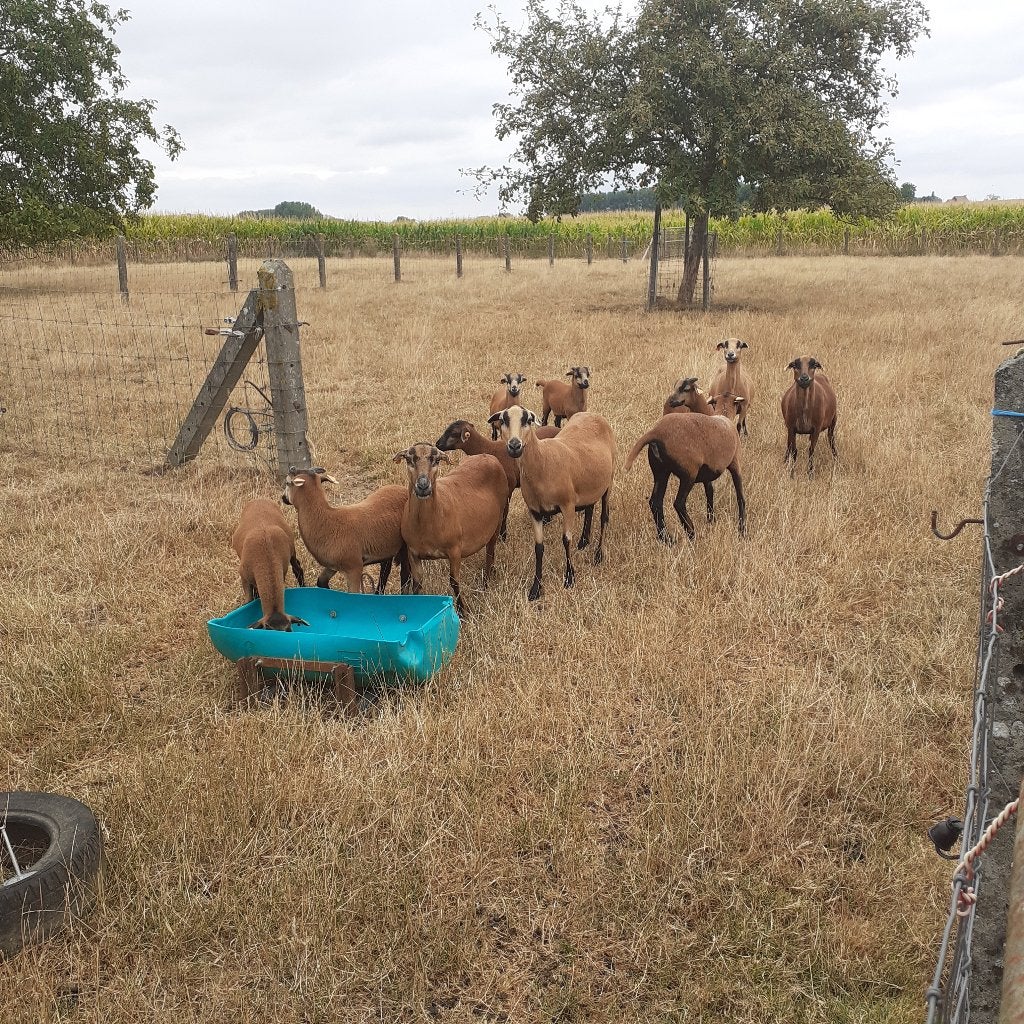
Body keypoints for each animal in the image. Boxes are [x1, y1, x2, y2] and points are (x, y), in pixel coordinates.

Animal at [231, 497, 308, 631]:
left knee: (297, 568)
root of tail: (259, 499)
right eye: (267, 629)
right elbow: (249, 600)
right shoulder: (243, 575)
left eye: (289, 630)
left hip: (292, 551)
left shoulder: (281, 572)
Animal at [393, 444, 509, 615]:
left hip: (497, 520)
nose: (423, 486)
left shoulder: (455, 549)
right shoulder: (412, 552)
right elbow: (417, 583)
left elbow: (454, 581)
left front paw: (463, 611)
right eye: (409, 459)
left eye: (436, 460)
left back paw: (485, 585)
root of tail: (488, 456)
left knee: (490, 553)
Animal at [487, 405, 615, 601]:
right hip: (590, 485)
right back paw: (583, 541)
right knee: (590, 508)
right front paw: (535, 589)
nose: (515, 446)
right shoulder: (535, 511)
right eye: (503, 420)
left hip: (609, 481)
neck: (543, 461)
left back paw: (599, 554)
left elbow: (566, 540)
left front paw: (569, 578)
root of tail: (593, 414)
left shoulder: (567, 505)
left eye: (528, 420)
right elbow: (539, 548)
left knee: (604, 518)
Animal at [624, 413, 746, 542]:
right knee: (679, 503)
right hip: (688, 474)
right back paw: (691, 534)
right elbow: (740, 498)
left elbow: (710, 493)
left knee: (655, 502)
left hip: (661, 472)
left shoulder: (706, 476)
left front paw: (711, 521)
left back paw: (667, 539)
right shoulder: (735, 463)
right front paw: (742, 530)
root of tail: (656, 432)